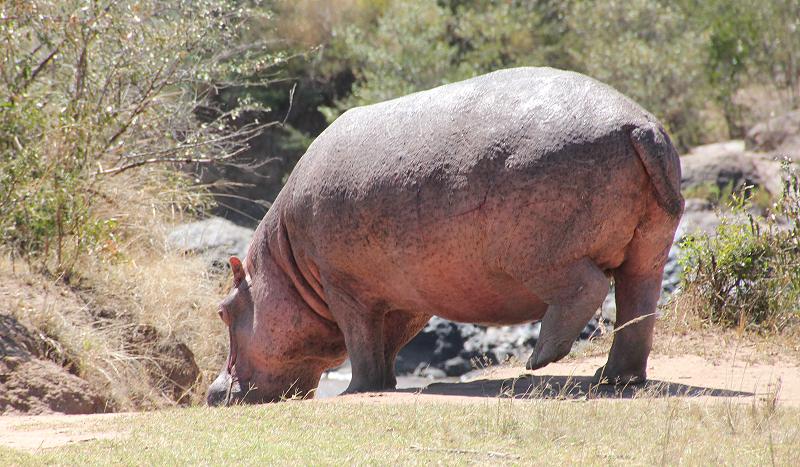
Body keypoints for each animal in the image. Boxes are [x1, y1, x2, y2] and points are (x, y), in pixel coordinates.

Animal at [205, 66, 680, 406]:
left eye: (224, 311)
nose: (211, 393)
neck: (286, 265)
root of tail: (638, 124)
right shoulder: (404, 298)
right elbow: (387, 343)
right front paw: (386, 384)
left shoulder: (344, 287)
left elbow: (361, 341)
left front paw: (357, 390)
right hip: (649, 250)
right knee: (638, 307)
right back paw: (614, 378)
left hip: (538, 256)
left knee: (588, 287)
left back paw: (539, 359)